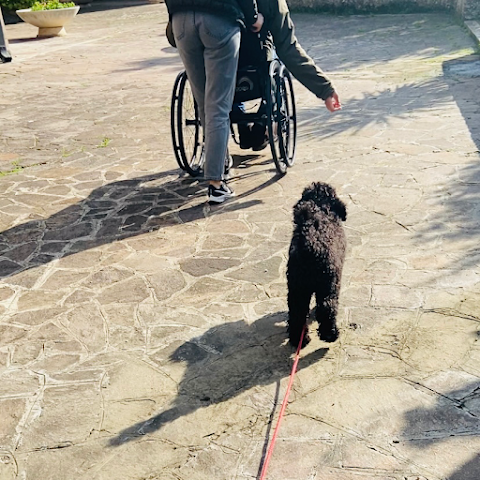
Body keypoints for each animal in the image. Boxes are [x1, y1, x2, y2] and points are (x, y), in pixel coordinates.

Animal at [286, 182, 346, 346]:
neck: (321, 207)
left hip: (297, 288)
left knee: (297, 312)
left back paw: (298, 339)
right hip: (328, 284)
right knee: (327, 307)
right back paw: (330, 335)